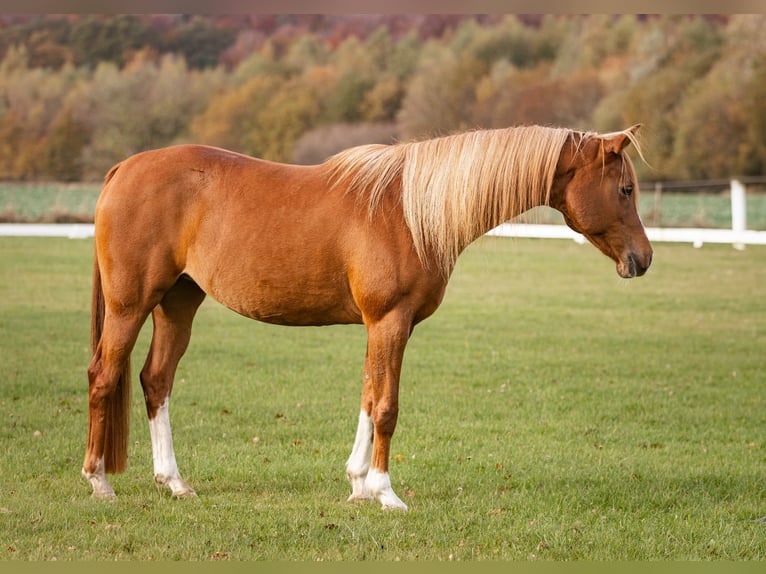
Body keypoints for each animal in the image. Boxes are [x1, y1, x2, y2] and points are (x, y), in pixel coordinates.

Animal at [83, 124, 652, 510]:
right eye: (625, 189)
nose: (643, 260)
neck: (409, 210)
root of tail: (124, 169)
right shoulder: (389, 321)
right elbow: (386, 407)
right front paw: (385, 492)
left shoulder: (379, 327)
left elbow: (367, 395)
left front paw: (358, 484)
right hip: (130, 306)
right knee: (104, 376)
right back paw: (99, 481)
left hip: (178, 303)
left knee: (156, 380)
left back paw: (174, 482)